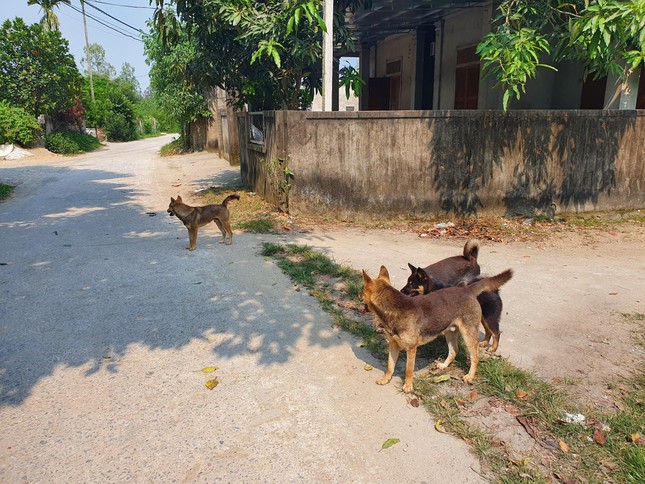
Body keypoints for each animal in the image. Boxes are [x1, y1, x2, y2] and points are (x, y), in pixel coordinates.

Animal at [360, 264, 510, 394]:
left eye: (362, 290)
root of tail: (466, 289)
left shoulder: (411, 349)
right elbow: (390, 365)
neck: (395, 308)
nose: (358, 295)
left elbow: (408, 370)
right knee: (454, 351)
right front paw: (386, 378)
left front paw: (408, 386)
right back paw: (444, 365)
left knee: (476, 356)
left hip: (469, 335)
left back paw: (470, 376)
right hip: (450, 333)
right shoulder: (393, 345)